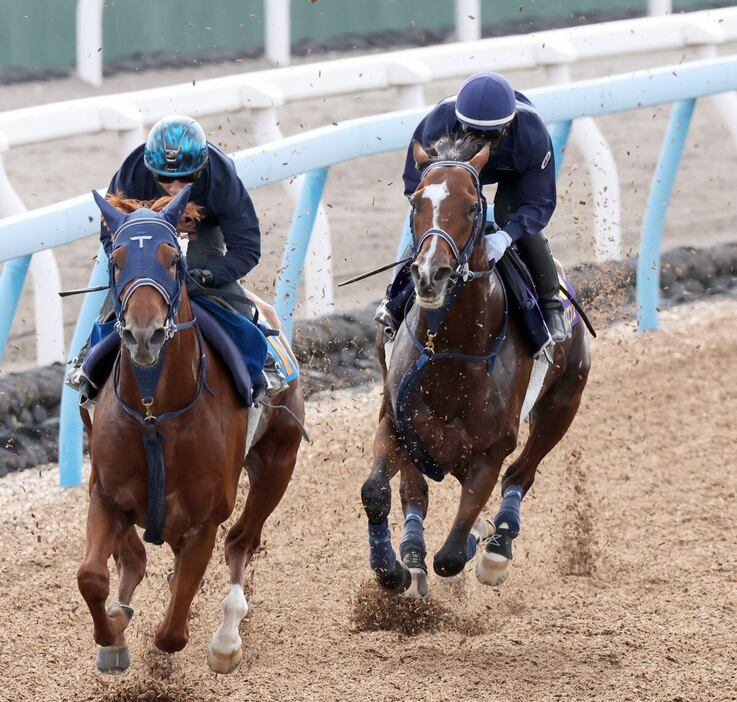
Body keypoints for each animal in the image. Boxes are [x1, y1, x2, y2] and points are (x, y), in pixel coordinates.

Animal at [76, 187, 304, 676]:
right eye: (116, 259)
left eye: (172, 259)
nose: (144, 335)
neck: (154, 414)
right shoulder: (106, 494)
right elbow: (92, 576)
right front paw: (113, 637)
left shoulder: (206, 519)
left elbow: (172, 632)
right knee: (135, 558)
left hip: (278, 462)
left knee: (242, 541)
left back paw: (226, 638)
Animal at [360, 139, 588, 600]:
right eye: (416, 201)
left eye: (470, 206)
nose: (430, 274)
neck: (451, 356)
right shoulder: (397, 424)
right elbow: (377, 492)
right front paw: (392, 571)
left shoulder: (489, 453)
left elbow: (451, 555)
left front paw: (478, 539)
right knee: (415, 494)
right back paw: (413, 557)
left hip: (563, 403)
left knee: (521, 473)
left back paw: (497, 546)